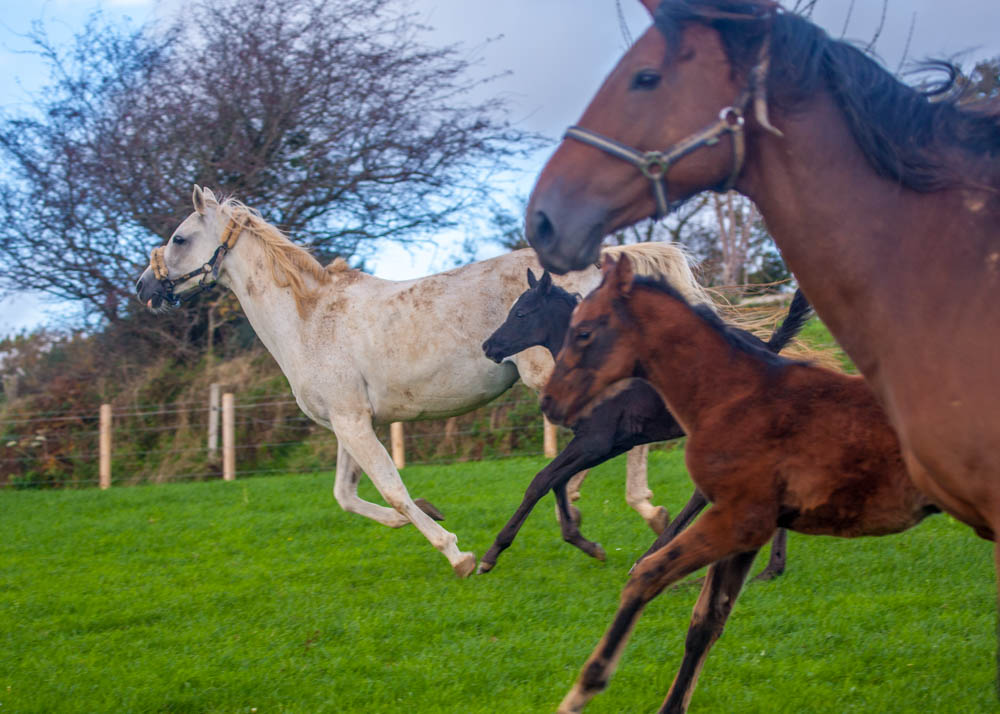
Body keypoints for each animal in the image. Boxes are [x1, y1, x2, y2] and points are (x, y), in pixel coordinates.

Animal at [137, 186, 712, 576]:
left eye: (180, 237)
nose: (145, 288)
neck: (309, 321)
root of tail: (612, 261)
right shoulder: (350, 423)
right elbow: (347, 496)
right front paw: (428, 516)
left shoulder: (353, 422)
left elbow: (391, 489)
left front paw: (458, 553)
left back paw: (642, 512)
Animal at [476, 268, 804, 572]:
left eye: (520, 313)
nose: (489, 346)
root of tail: (768, 347)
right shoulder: (611, 443)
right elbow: (559, 481)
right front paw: (586, 544)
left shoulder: (594, 441)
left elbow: (541, 481)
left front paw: (491, 554)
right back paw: (771, 567)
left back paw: (654, 556)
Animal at [540, 254, 936, 712]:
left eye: (584, 331)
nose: (549, 402)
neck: (732, 393)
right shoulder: (742, 530)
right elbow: (705, 623)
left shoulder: (740, 519)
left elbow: (648, 577)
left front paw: (582, 690)